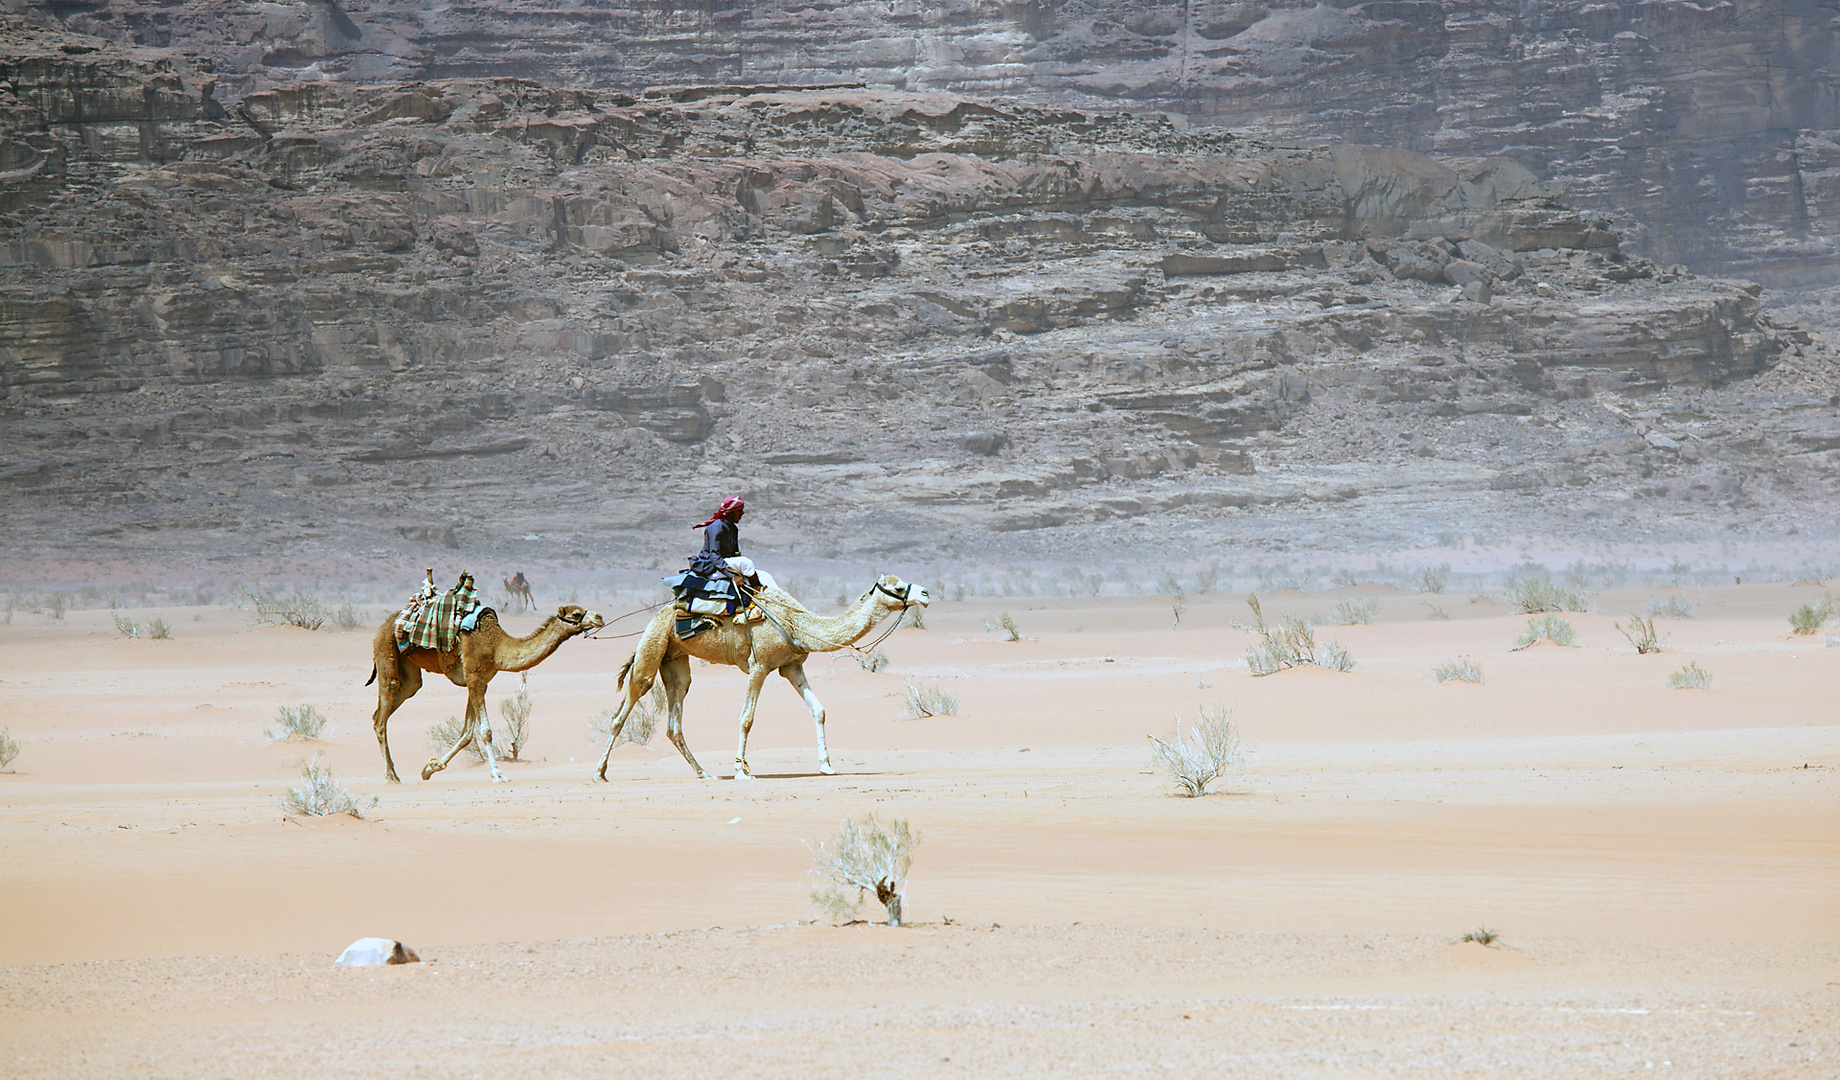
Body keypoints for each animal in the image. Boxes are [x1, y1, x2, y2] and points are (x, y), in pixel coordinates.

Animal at [362, 603, 607, 780]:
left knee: (397, 698)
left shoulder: (481, 681)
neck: (496, 645)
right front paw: (498, 774)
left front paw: (430, 769)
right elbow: (485, 731)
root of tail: (383, 625)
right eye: (576, 613)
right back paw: (390, 776)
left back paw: (395, 772)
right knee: (382, 713)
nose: (599, 617)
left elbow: (467, 733)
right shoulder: (474, 676)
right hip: (385, 650)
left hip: (410, 670)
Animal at [592, 574, 927, 787]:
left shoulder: (792, 667)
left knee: (675, 718)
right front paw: (742, 771)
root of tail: (657, 616)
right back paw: (599, 773)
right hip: (653, 647)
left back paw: (705, 774)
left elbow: (818, 710)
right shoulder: (759, 665)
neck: (796, 623)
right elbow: (746, 719)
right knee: (623, 709)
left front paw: (828, 766)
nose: (924, 593)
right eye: (898, 587)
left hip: (675, 660)